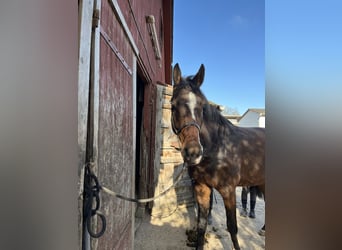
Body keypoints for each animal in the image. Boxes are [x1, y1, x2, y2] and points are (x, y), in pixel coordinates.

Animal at [171, 63, 264, 249]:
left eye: (201, 106)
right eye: (173, 105)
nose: (193, 152)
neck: (217, 147)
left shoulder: (228, 190)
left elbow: (232, 227)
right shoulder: (202, 188)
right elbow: (201, 225)